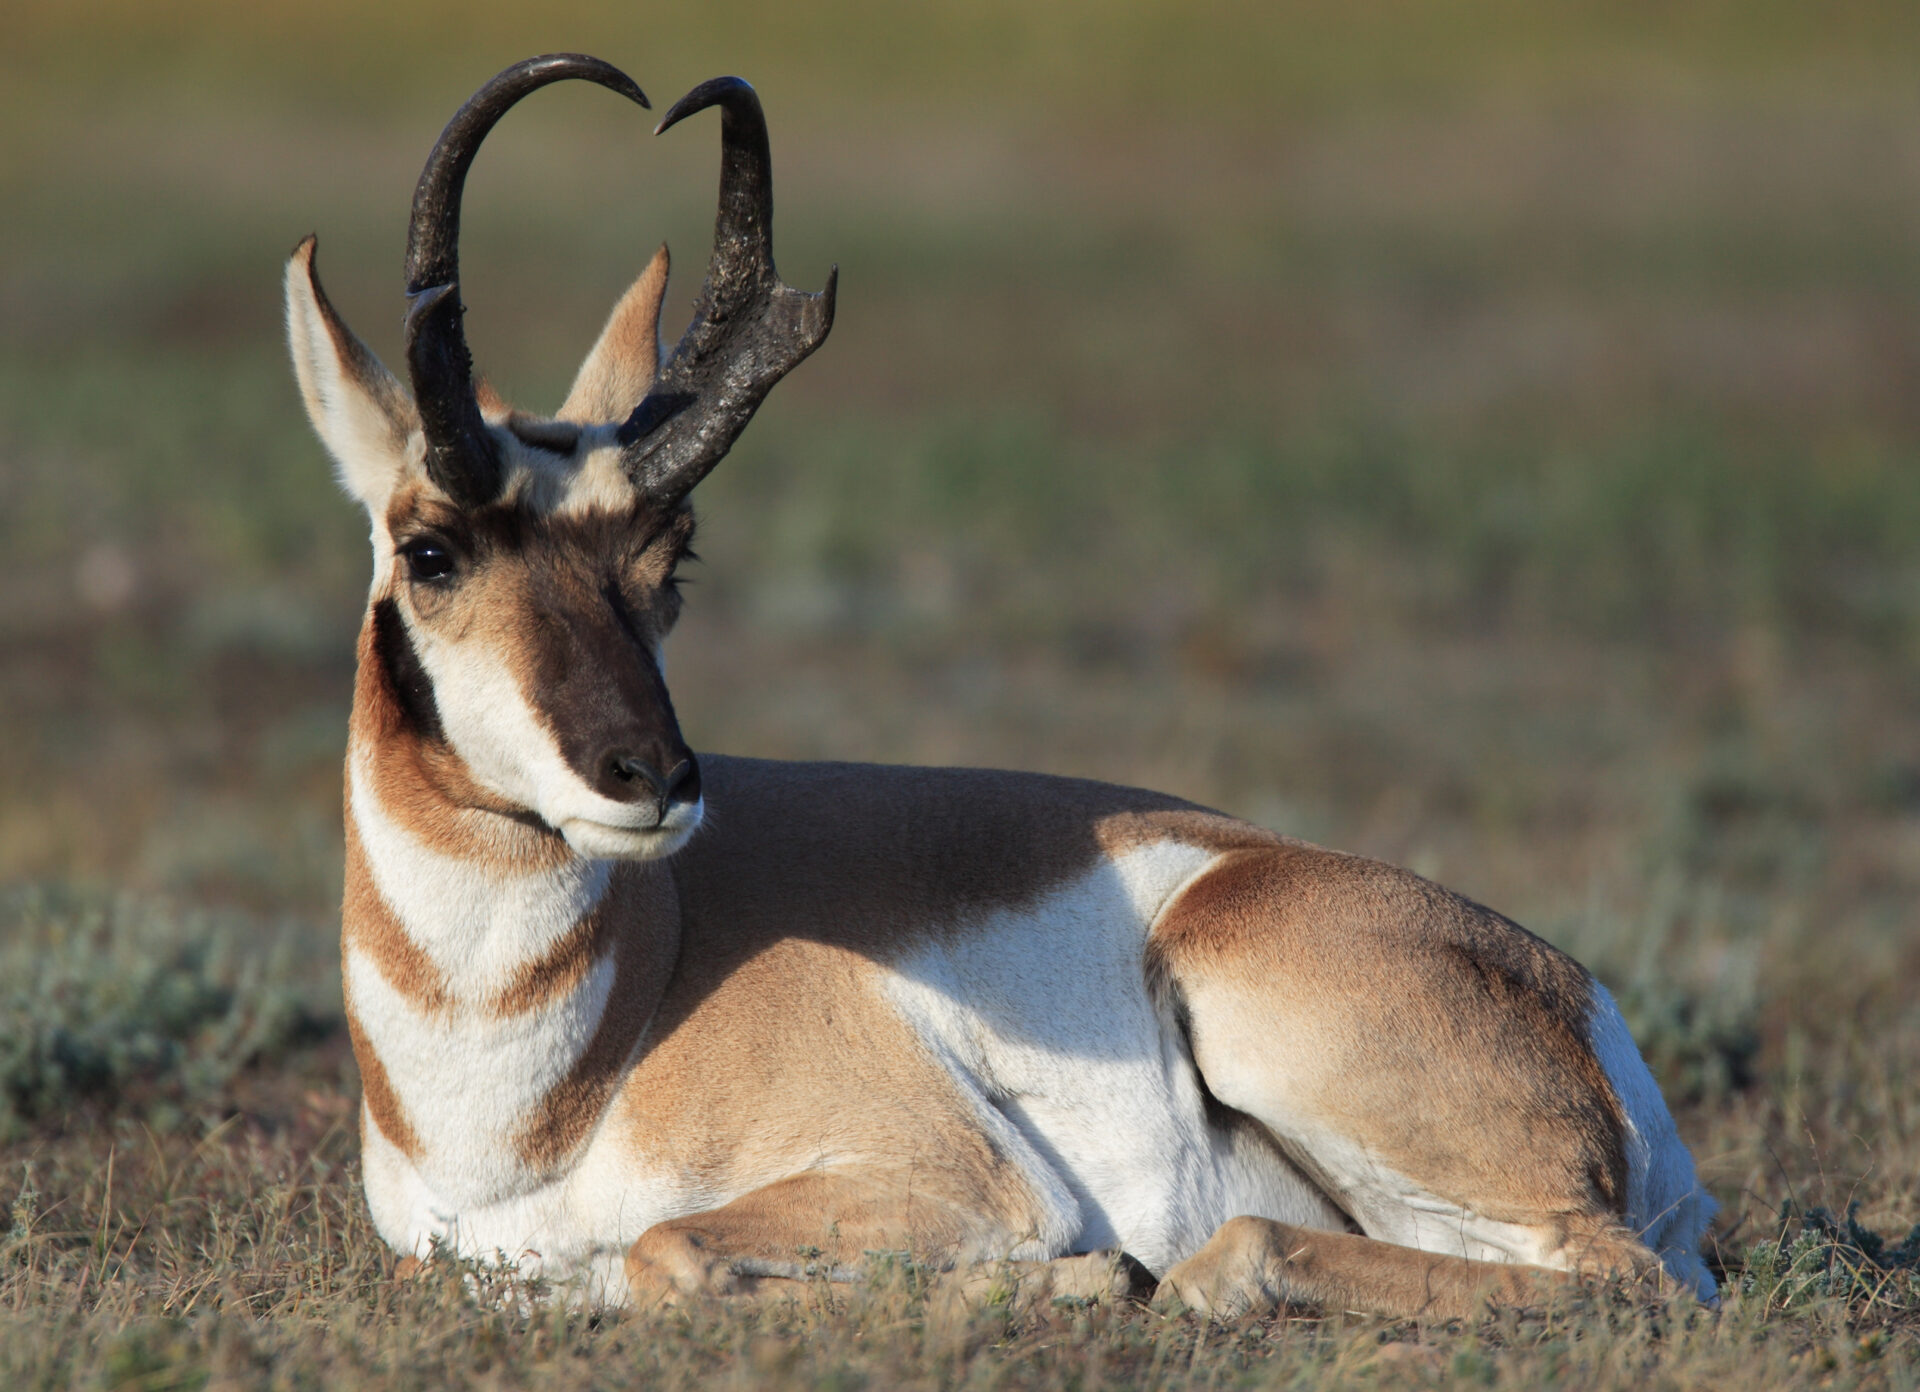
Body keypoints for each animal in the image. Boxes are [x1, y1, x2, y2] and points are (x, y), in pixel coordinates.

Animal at [288, 54, 1728, 1313]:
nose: (649, 778)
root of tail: (1577, 1001)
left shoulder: (949, 1181)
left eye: (669, 553)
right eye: (430, 550)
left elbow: (662, 1253)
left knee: (1603, 1278)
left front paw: (1085, 1278)